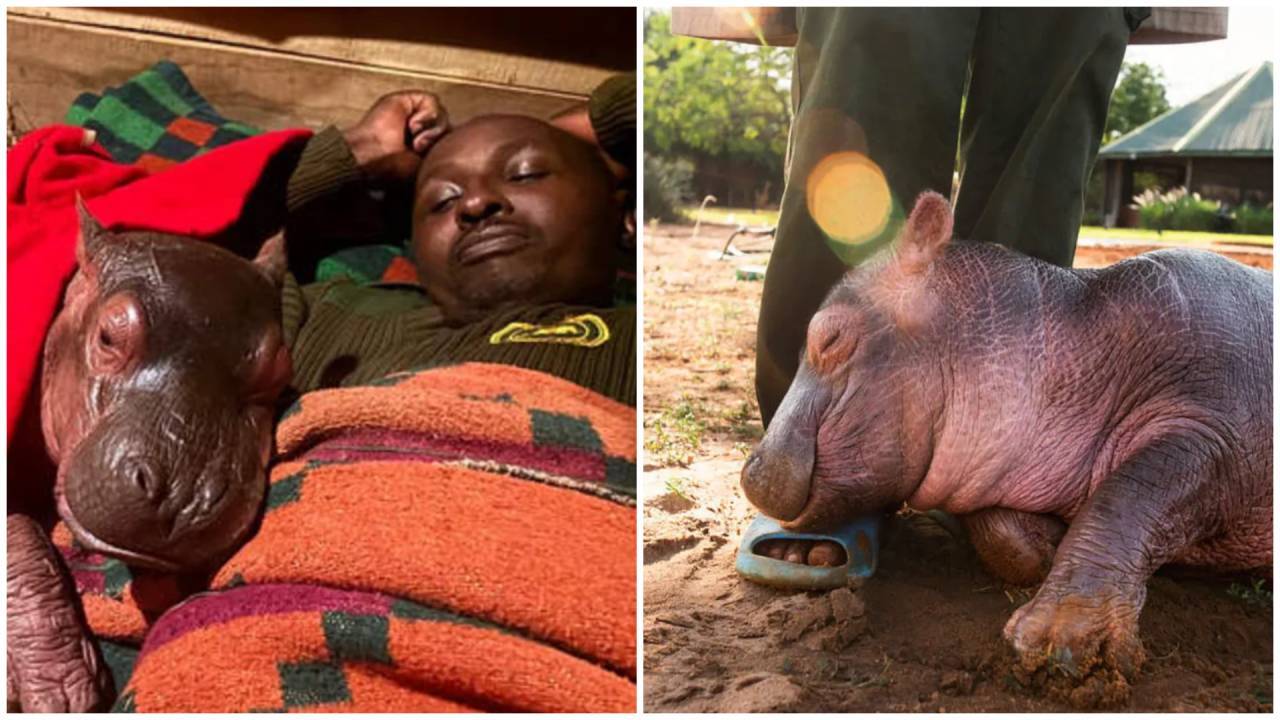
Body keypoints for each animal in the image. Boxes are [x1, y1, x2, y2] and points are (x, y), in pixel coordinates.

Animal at [741, 192, 1272, 689]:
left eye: (828, 338)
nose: (750, 469)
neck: (1073, 342)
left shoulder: (1215, 434)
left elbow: (1127, 499)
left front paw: (1058, 642)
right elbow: (1000, 531)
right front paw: (1049, 544)